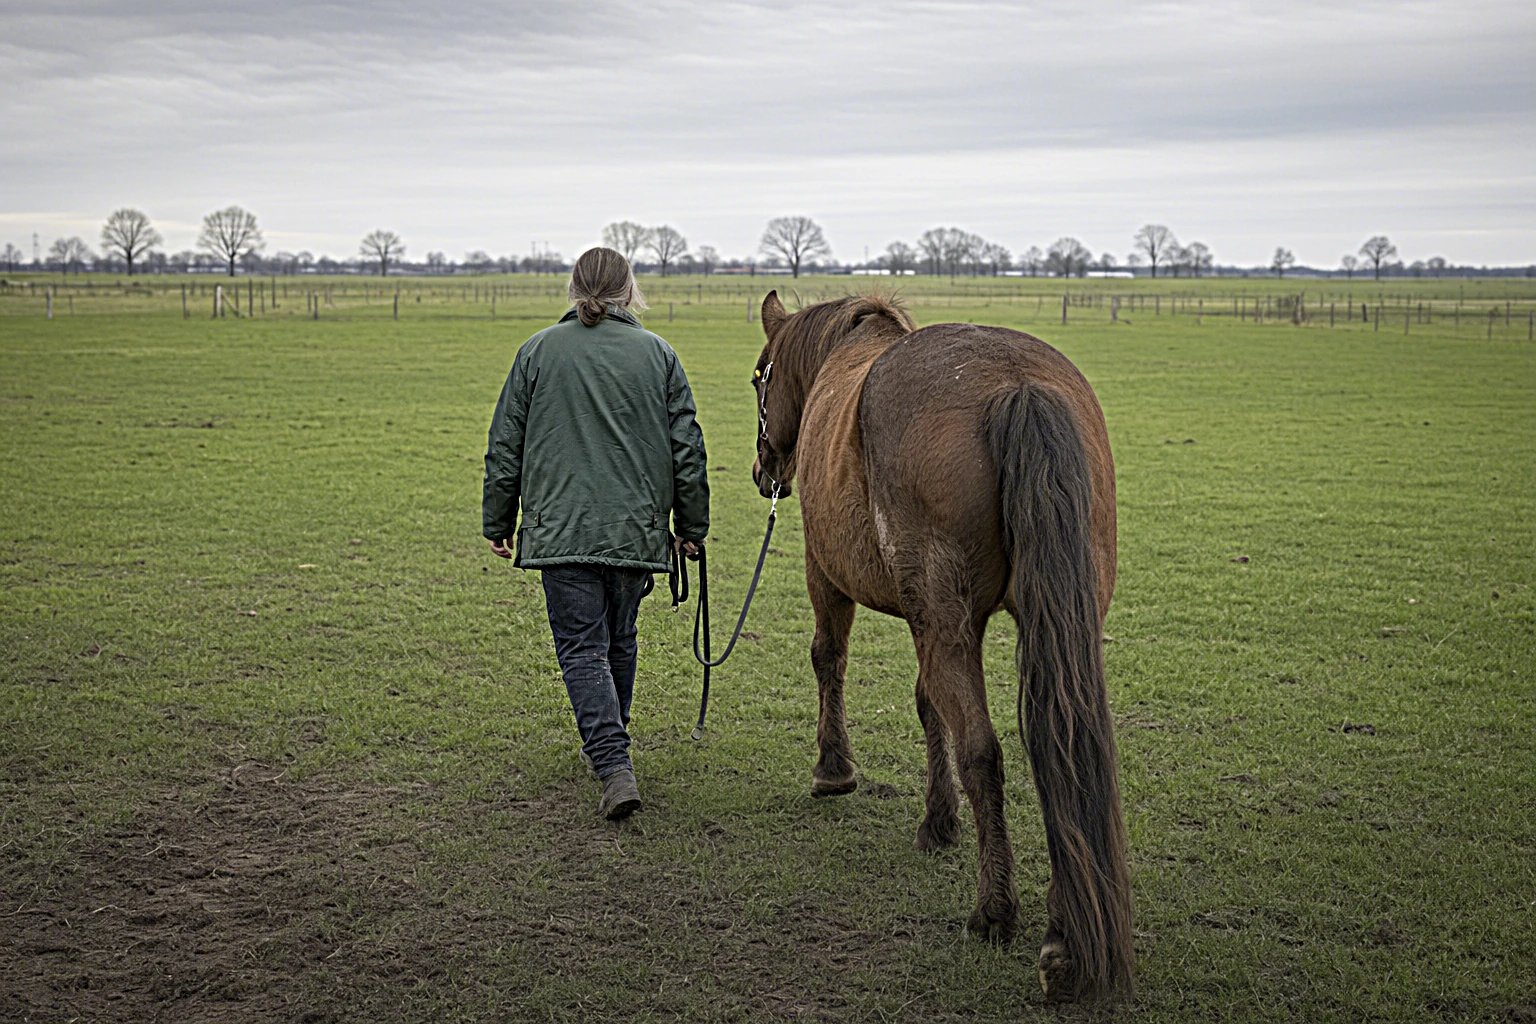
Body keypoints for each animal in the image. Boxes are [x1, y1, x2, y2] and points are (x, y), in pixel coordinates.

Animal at [748, 290, 1133, 1002]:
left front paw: (834, 770)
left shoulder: (828, 573)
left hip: (945, 618)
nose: (763, 468)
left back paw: (995, 910)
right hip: (1053, 617)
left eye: (760, 377)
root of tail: (1017, 382)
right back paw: (1064, 937)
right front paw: (938, 820)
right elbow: (930, 707)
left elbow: (829, 658)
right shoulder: (925, 616)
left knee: (984, 751)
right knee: (1064, 743)